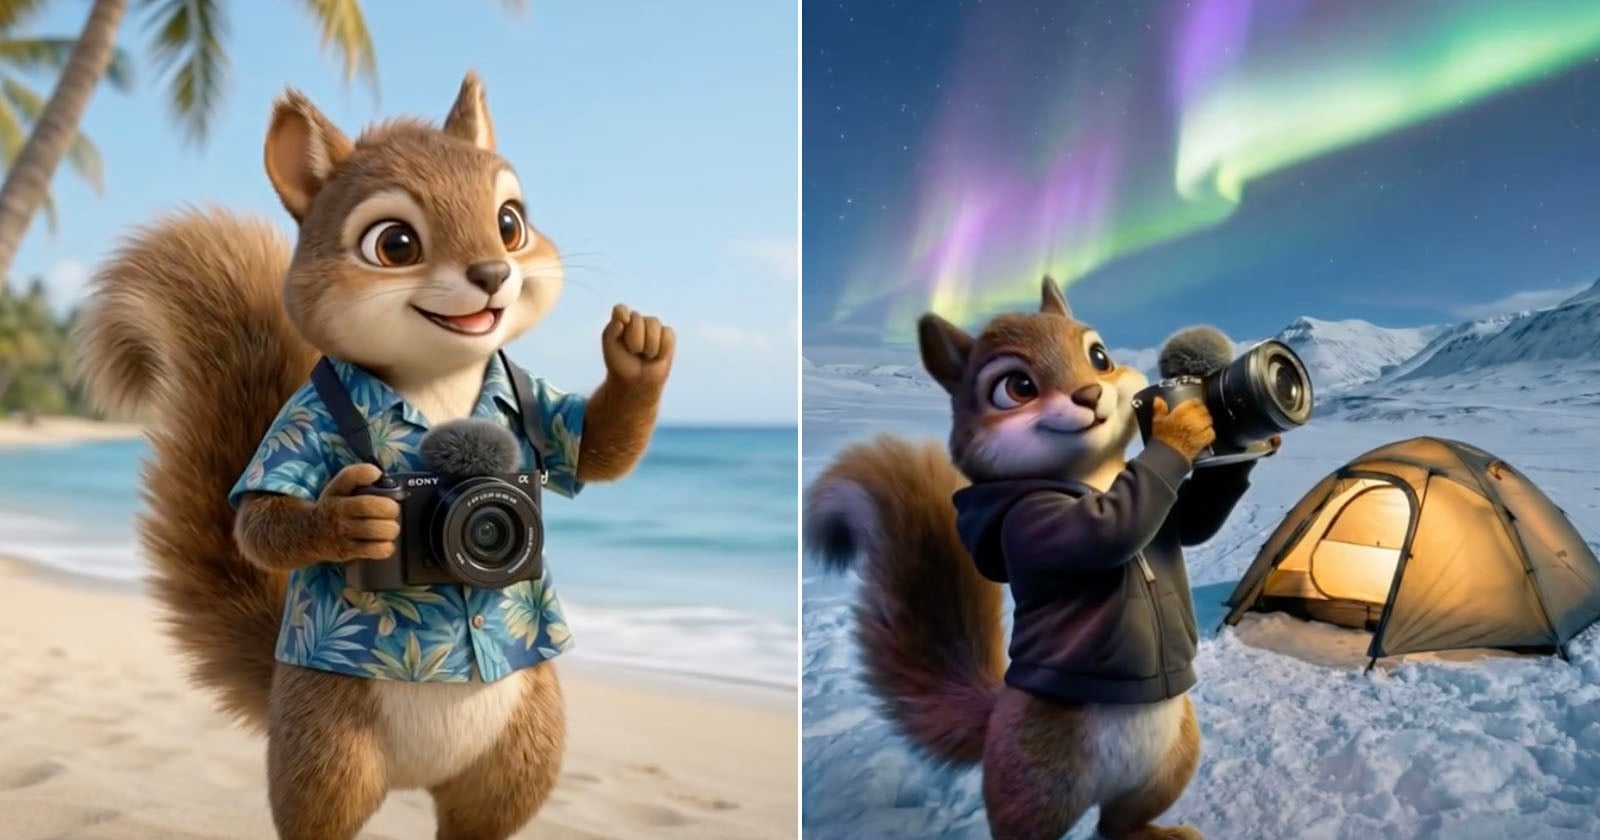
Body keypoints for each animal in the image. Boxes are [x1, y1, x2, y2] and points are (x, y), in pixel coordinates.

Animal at [73, 72, 673, 840]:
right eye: (395, 243)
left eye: (511, 223)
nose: (492, 272)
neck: (437, 378)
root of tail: (416, 777)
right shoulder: (296, 426)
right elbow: (261, 519)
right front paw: (349, 522)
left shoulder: (537, 415)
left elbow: (593, 450)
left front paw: (639, 351)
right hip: (327, 743)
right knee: (324, 814)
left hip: (523, 745)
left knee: (480, 817)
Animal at [805, 277, 1265, 840]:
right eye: (1016, 387)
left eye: (1099, 356)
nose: (1090, 395)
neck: (1092, 475)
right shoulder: (1030, 523)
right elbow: (1102, 533)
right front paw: (1180, 426)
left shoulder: (1172, 521)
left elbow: (1194, 525)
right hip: (1034, 778)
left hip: (1171, 760)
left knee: (1117, 824)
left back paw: (1162, 833)